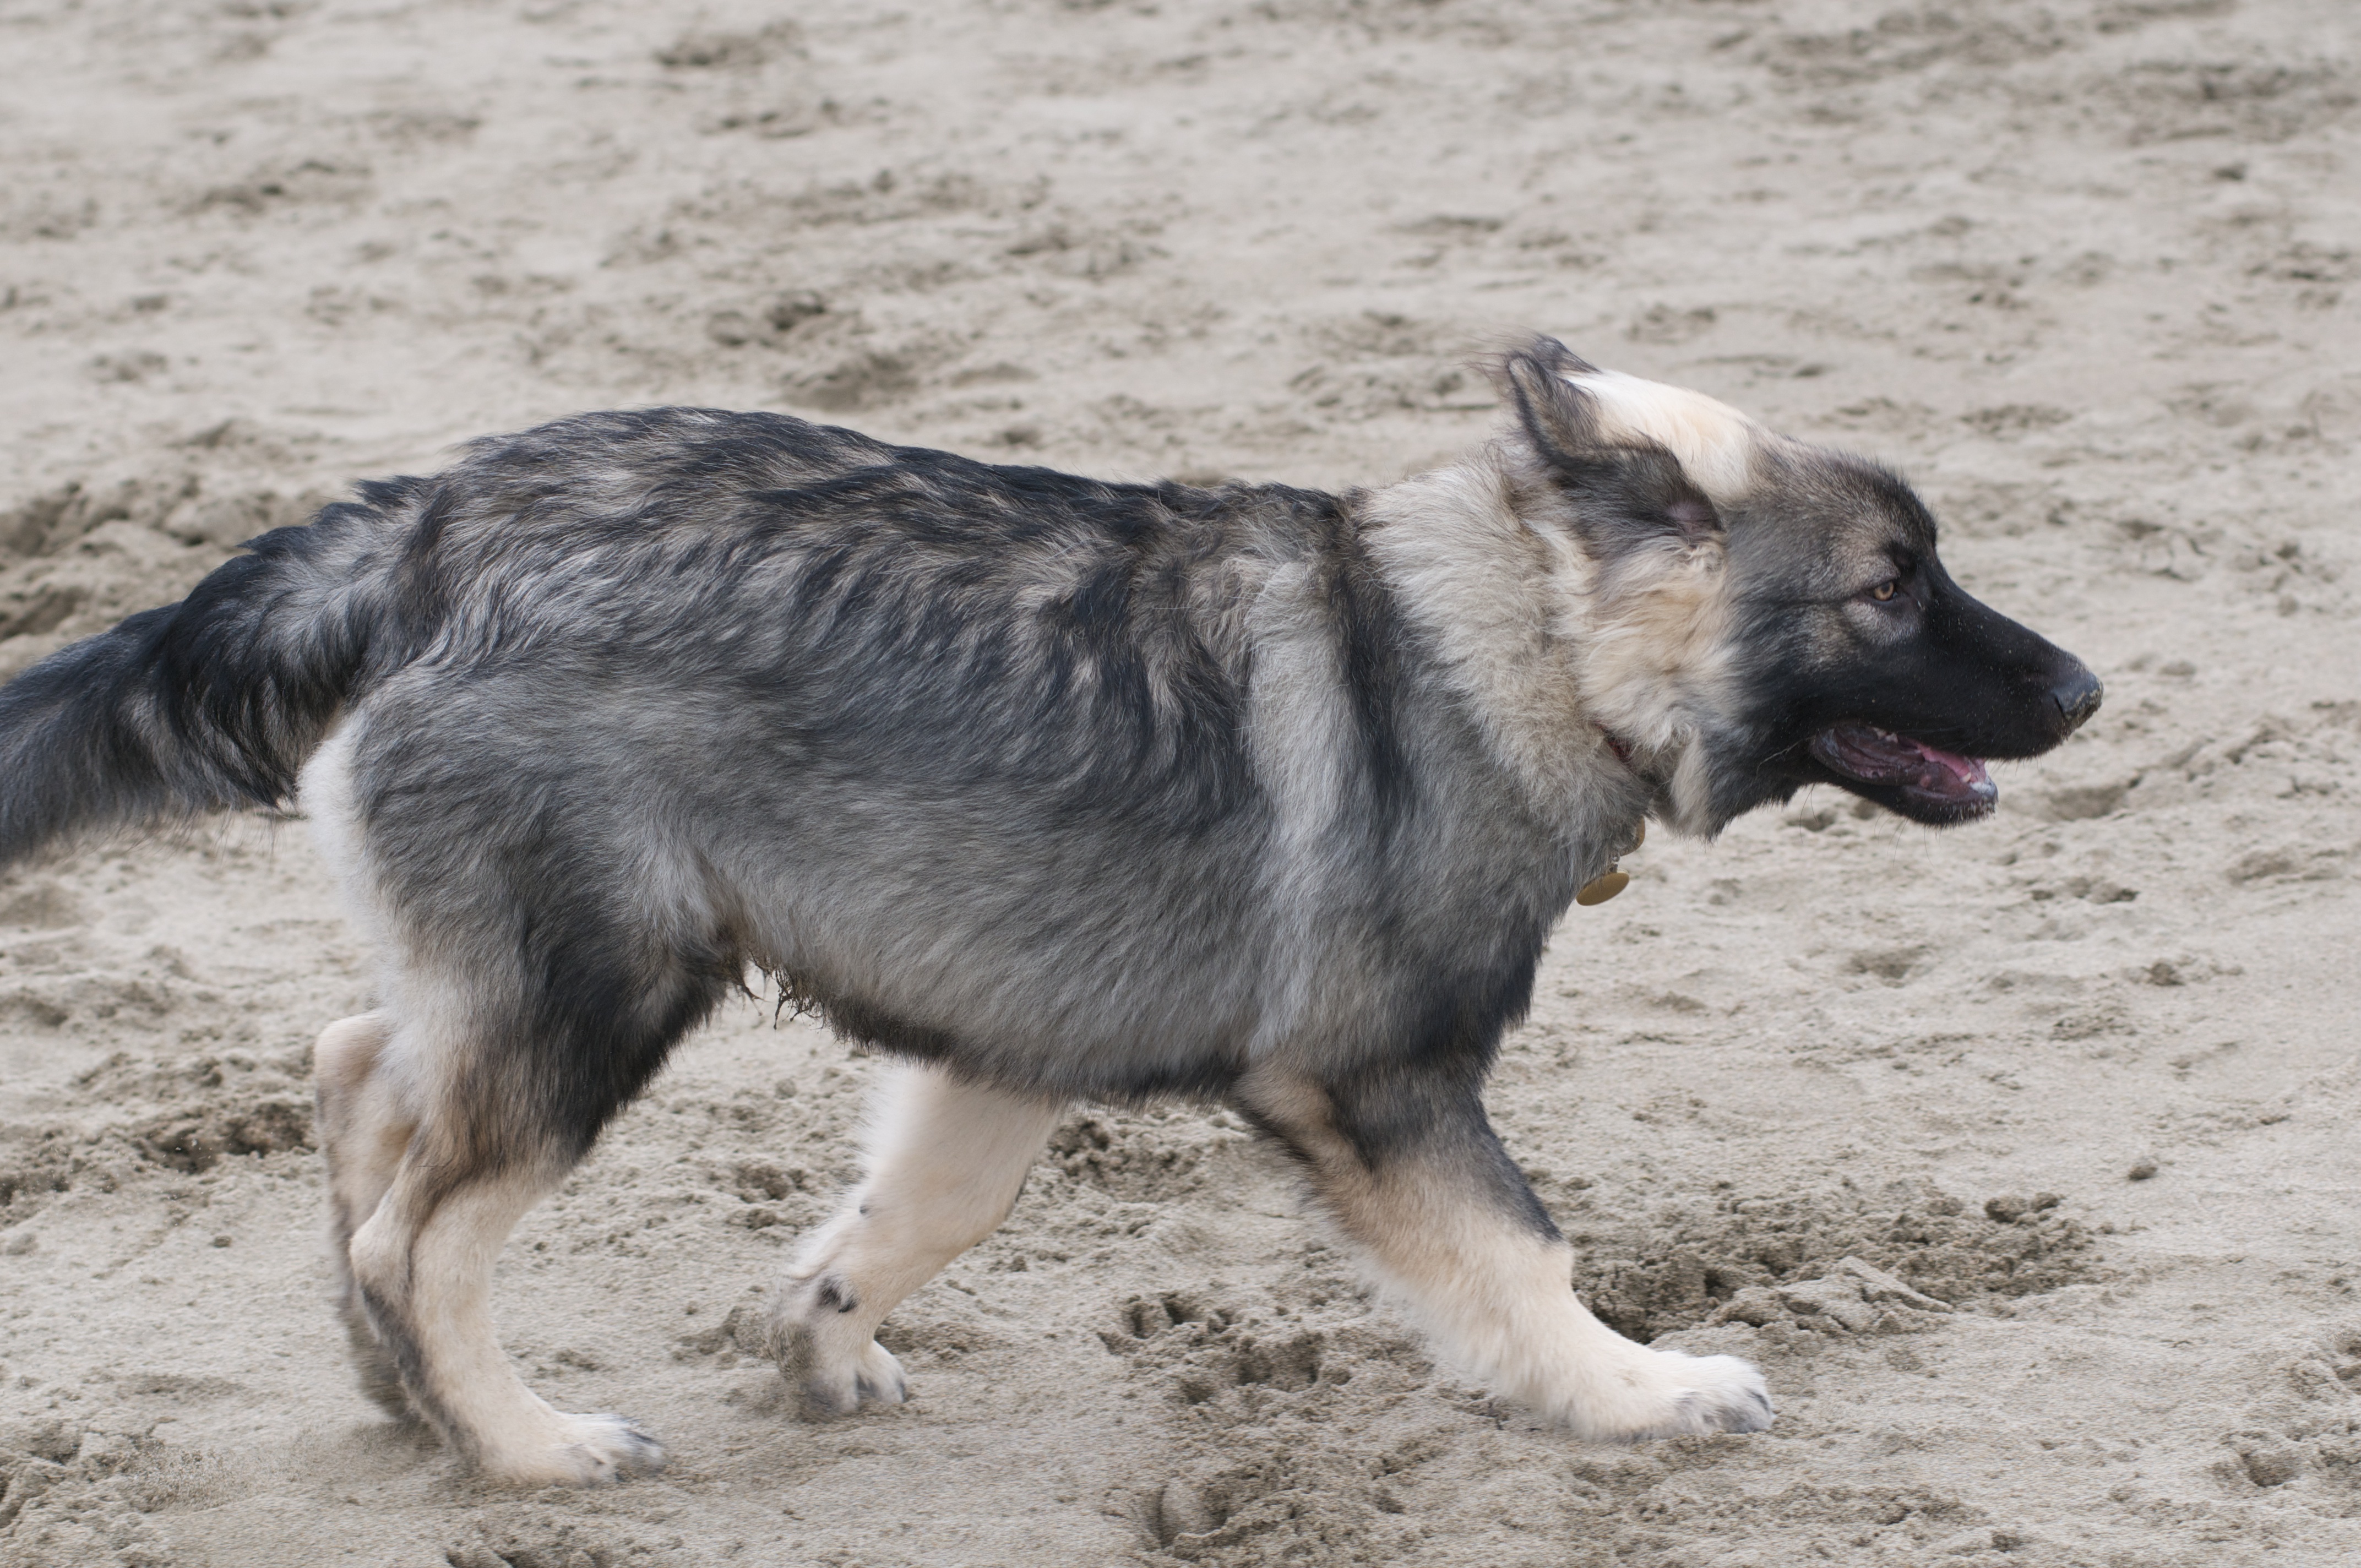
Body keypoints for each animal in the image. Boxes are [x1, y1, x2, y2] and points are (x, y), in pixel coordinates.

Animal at [0, 340, 2106, 1483]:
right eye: (1890, 588)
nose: (2086, 688)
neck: (1512, 629)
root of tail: (436, 523)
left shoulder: (1001, 1036)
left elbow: (914, 1212)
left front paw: (820, 1335)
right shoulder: (1377, 1081)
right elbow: (1517, 1249)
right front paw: (1632, 1391)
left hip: (524, 974)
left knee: (363, 1070)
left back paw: (407, 1393)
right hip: (598, 986)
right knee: (418, 1224)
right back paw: (523, 1442)